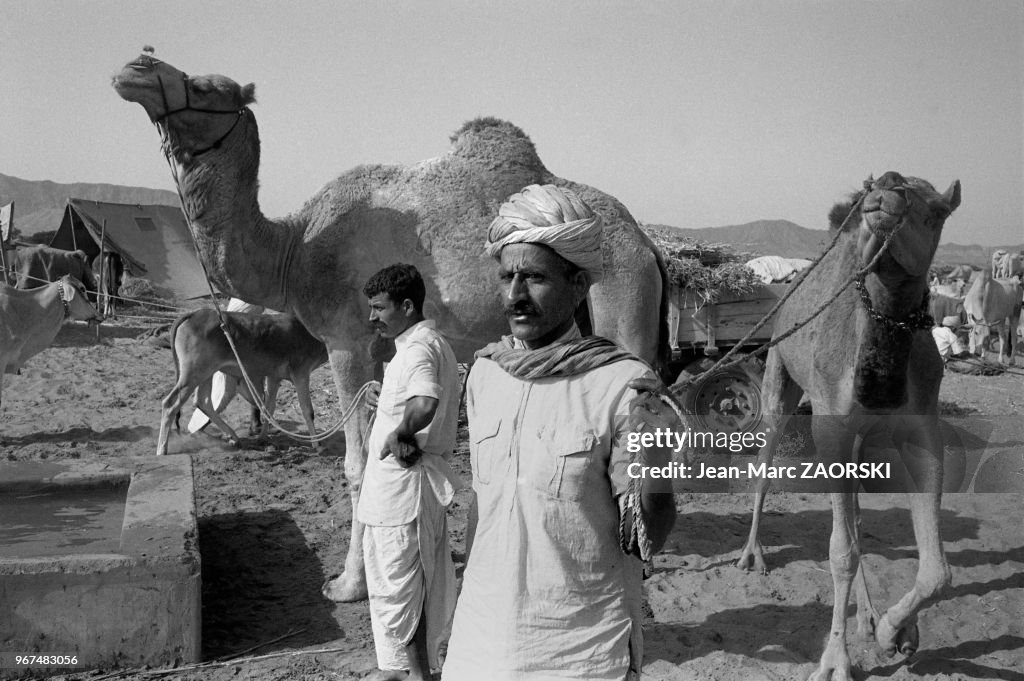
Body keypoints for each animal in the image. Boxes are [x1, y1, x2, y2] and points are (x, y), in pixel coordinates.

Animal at [155, 309, 327, 456]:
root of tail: (194, 314)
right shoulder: (301, 373)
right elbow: (308, 410)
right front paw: (317, 445)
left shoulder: (274, 376)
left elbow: (269, 407)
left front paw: (263, 438)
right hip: (193, 373)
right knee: (170, 404)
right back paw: (162, 449)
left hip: (206, 373)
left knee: (203, 402)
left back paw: (234, 437)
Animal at [737, 173, 958, 675]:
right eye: (874, 190)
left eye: (936, 211)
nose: (888, 190)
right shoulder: (831, 428)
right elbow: (841, 550)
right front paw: (835, 661)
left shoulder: (923, 427)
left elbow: (937, 569)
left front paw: (895, 632)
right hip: (778, 374)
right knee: (765, 464)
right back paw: (752, 555)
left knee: (856, 513)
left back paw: (869, 615)